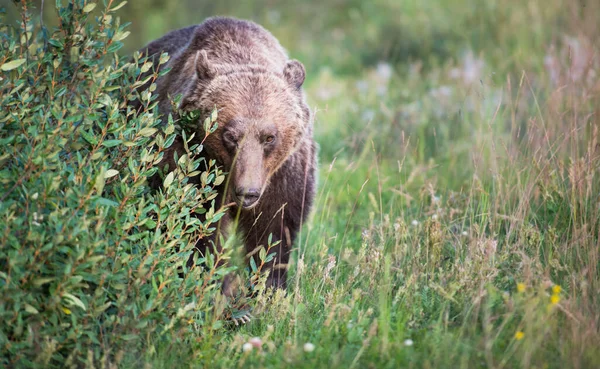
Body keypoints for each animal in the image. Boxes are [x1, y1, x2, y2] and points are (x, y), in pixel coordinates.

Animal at [136, 17, 316, 292]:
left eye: (269, 137)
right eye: (231, 135)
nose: (248, 192)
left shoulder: (285, 176)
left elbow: (273, 232)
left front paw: (268, 286)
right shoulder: (189, 159)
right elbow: (194, 224)